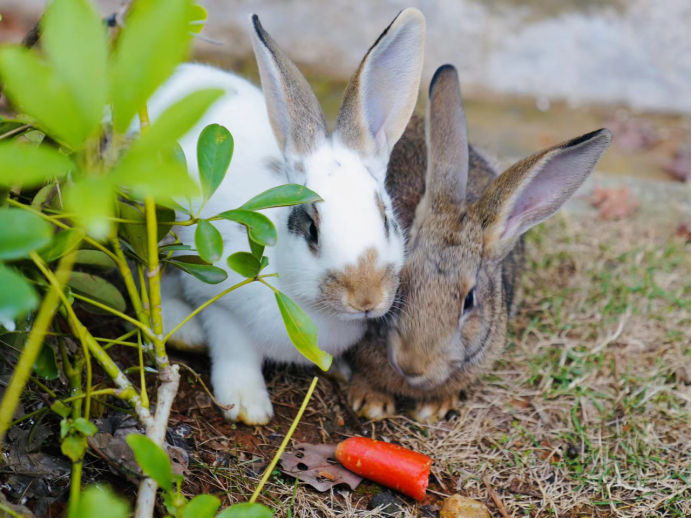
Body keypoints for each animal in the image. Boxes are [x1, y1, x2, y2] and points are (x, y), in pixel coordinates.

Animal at [145, 9, 424, 426]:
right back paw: (188, 333)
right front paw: (247, 406)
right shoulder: (223, 306)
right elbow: (235, 353)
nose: (366, 297)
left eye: (387, 219)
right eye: (311, 229)